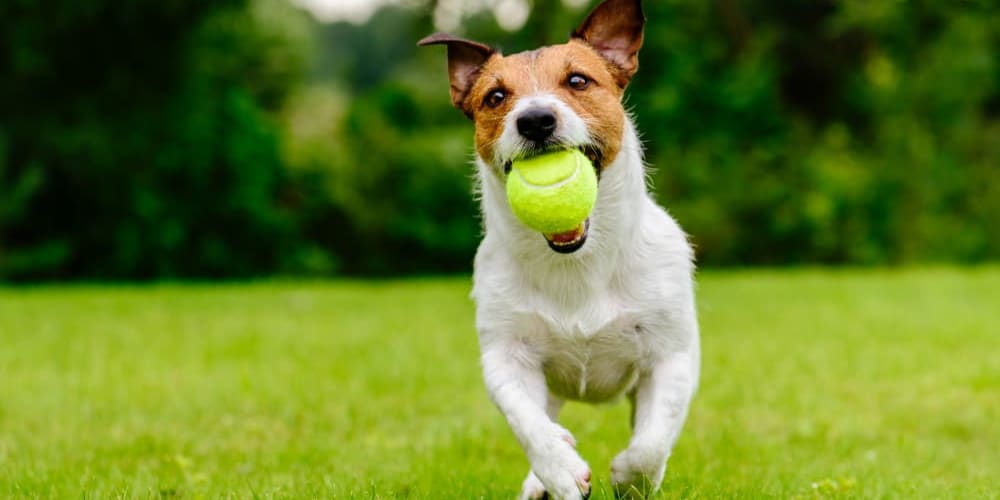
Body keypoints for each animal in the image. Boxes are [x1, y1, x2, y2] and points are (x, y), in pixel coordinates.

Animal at [418, 1, 700, 498]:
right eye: (495, 96)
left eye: (578, 81)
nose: (534, 120)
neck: (576, 262)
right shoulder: (506, 357)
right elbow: (527, 423)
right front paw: (560, 468)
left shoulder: (671, 358)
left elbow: (651, 443)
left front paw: (631, 478)